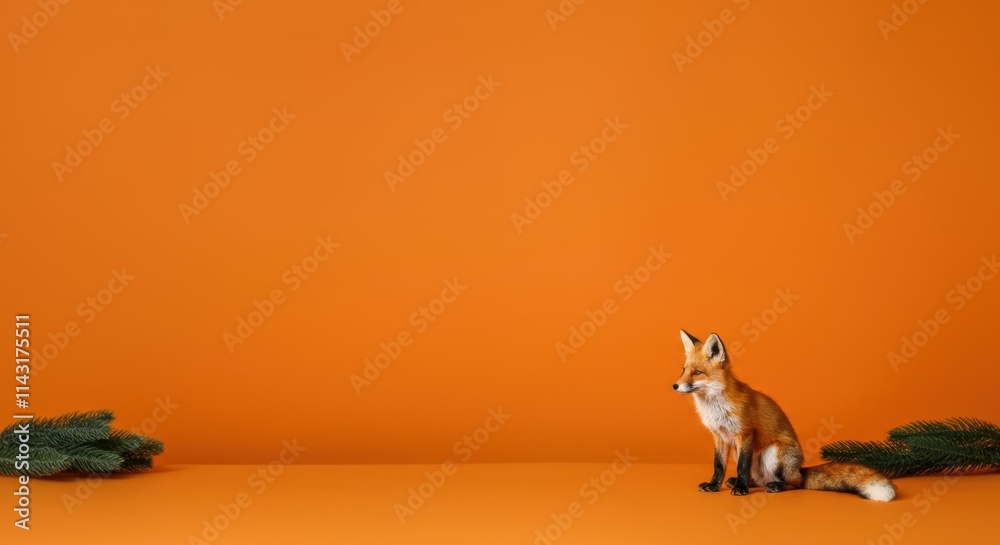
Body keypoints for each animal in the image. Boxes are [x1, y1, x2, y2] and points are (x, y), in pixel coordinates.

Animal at [673, 330, 896, 501]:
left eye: (697, 373)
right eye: (683, 370)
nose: (675, 386)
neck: (715, 407)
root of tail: (800, 468)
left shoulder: (745, 434)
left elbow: (743, 466)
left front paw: (741, 489)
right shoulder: (719, 436)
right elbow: (718, 466)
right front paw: (714, 486)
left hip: (773, 452)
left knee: (793, 482)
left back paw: (772, 485)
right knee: (758, 478)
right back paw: (742, 481)